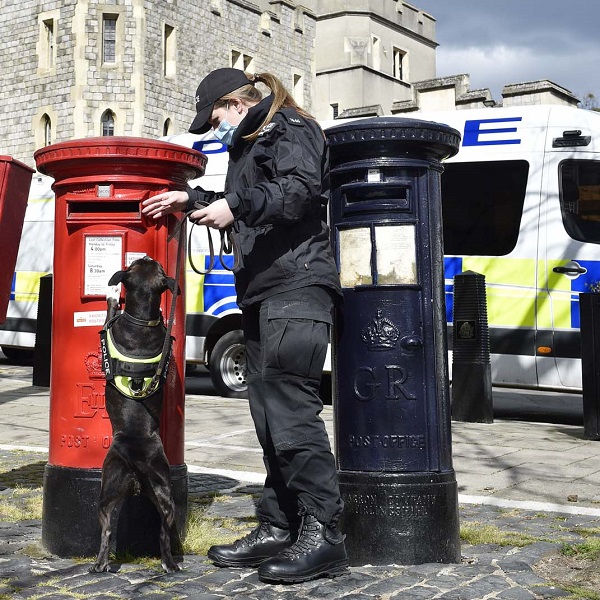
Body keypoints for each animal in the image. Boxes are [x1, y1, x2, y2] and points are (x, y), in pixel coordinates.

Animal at [88, 255, 179, 576]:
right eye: (159, 268)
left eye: (136, 262)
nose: (147, 255)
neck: (141, 318)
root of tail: (137, 460)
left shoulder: (108, 325)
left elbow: (110, 309)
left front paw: (113, 292)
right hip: (162, 491)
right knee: (163, 530)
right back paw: (168, 563)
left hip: (108, 486)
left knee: (105, 530)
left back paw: (100, 563)